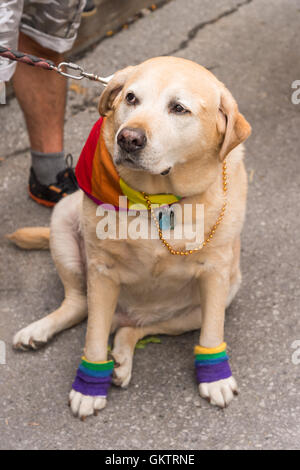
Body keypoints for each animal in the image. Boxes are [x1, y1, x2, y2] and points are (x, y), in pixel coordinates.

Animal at [9, 57, 251, 420]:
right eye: (131, 98)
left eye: (179, 108)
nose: (129, 139)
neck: (157, 198)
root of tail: (125, 314)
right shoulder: (102, 272)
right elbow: (94, 336)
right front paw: (88, 388)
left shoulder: (216, 273)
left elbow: (213, 329)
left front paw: (216, 378)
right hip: (63, 219)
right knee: (80, 305)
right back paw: (39, 330)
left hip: (221, 294)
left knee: (135, 328)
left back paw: (122, 353)